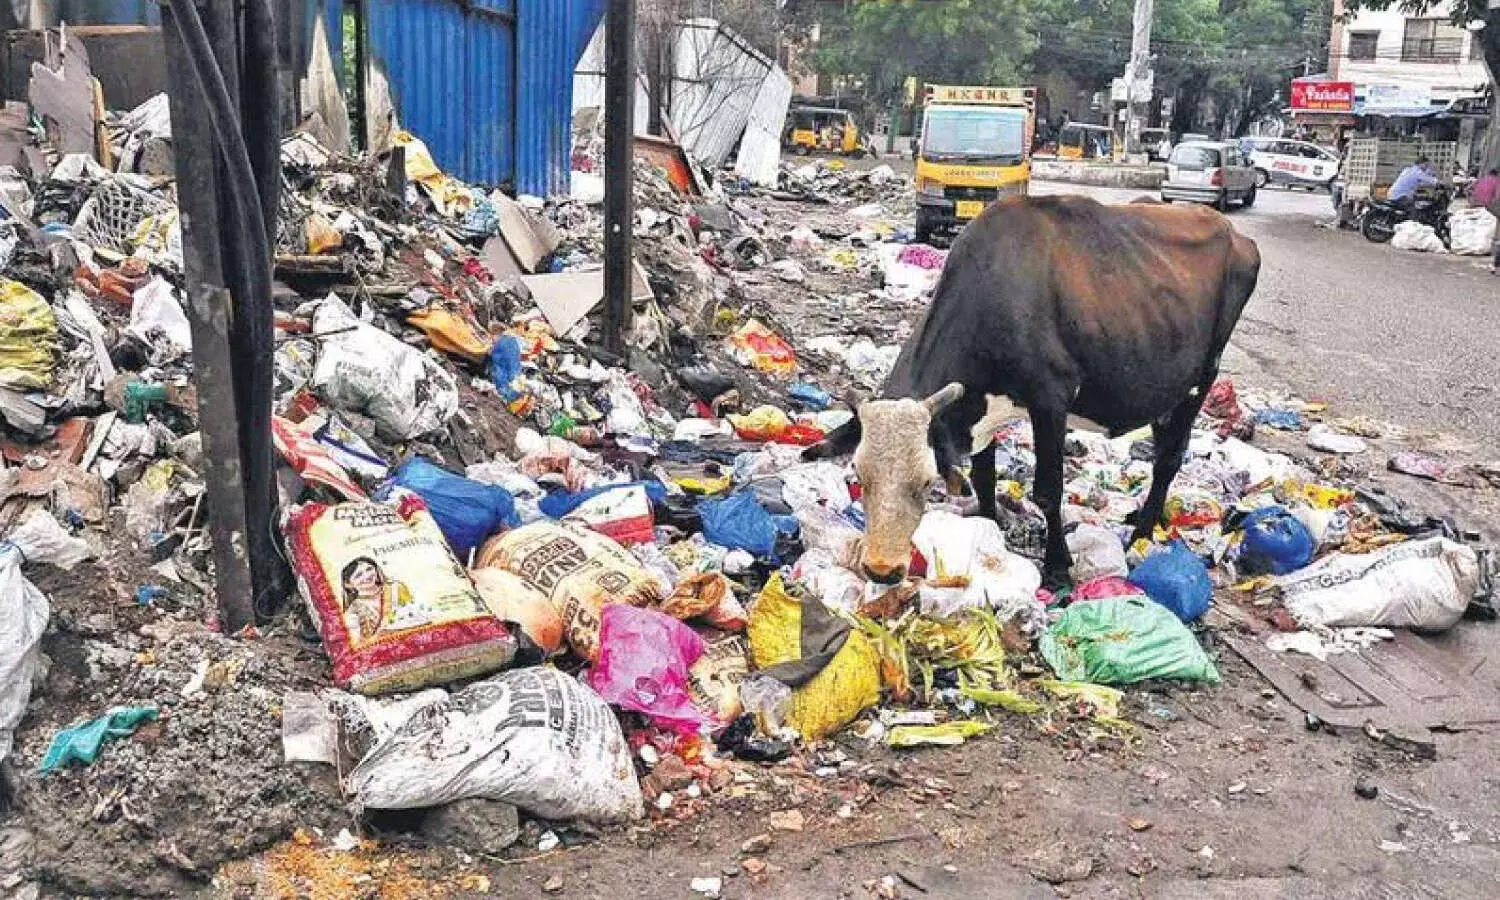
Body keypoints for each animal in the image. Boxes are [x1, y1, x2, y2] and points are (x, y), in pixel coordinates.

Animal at [804, 193, 1260, 588]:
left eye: (926, 481)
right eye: (859, 476)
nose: (881, 570)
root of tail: (1231, 230)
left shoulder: (1050, 400)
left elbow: (1048, 490)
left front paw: (1058, 565)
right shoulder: (981, 409)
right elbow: (985, 477)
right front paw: (988, 530)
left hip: (1202, 378)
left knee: (1168, 459)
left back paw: (1143, 534)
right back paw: (1142, 519)